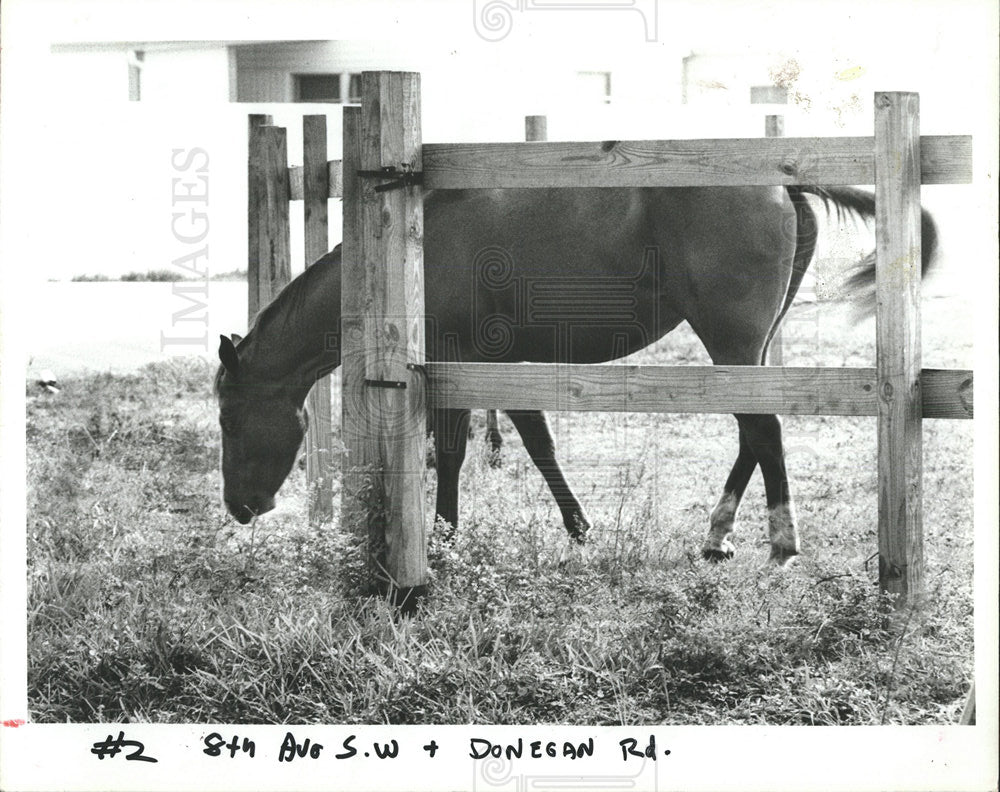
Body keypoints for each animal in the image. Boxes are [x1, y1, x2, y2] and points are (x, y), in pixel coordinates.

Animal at [213, 186, 936, 564]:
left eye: (228, 416)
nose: (239, 506)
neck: (418, 249)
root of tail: (782, 184)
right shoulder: (499, 369)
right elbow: (536, 441)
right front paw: (579, 527)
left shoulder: (455, 363)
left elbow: (453, 452)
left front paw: (445, 539)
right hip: (746, 348)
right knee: (752, 434)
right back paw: (718, 534)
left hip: (732, 341)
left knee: (763, 430)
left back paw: (778, 540)